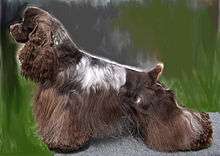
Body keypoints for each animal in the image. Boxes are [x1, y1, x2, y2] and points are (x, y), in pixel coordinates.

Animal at [9, 6, 213, 153]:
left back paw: (197, 140)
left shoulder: (67, 106)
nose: (10, 27)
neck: (60, 59)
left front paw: (64, 145)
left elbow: (64, 126)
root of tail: (151, 74)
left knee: (183, 120)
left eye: (24, 23)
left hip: (157, 107)